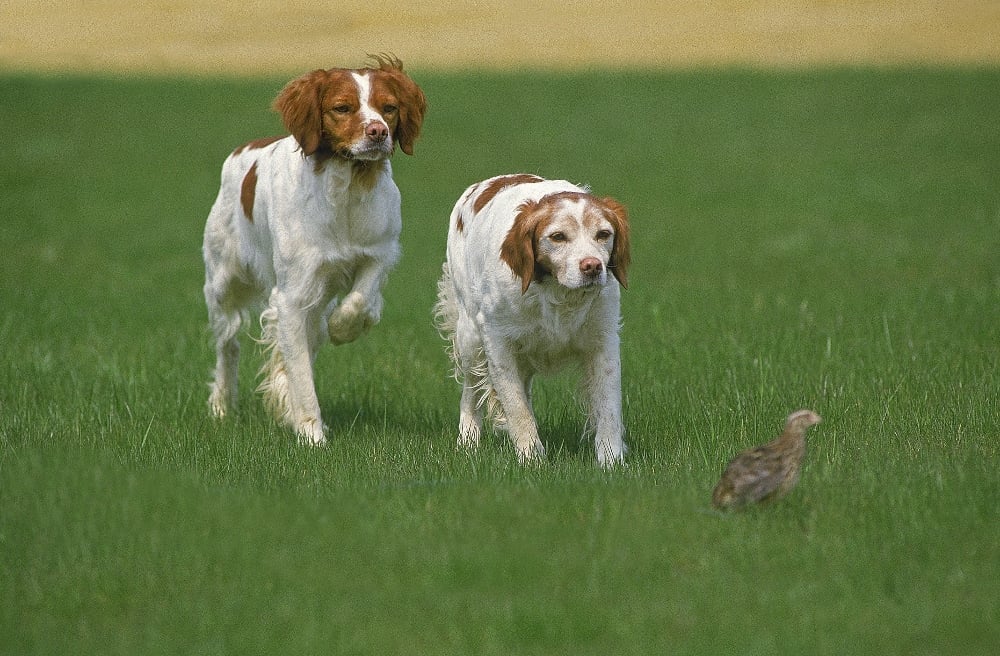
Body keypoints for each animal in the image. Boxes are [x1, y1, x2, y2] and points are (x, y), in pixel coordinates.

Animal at [203, 55, 426, 446]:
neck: (347, 190)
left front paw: (344, 326)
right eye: (342, 108)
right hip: (222, 288)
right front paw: (312, 435)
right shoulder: (292, 296)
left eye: (389, 107)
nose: (378, 132)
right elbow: (301, 375)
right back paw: (221, 407)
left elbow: (361, 300)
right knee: (228, 347)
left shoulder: (380, 253)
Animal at [432, 172, 628, 464]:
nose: (592, 266)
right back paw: (468, 441)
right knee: (471, 390)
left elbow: (608, 408)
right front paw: (531, 457)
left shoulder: (603, 340)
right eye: (558, 237)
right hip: (470, 338)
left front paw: (611, 460)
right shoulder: (497, 343)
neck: (555, 292)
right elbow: (516, 407)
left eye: (604, 234)